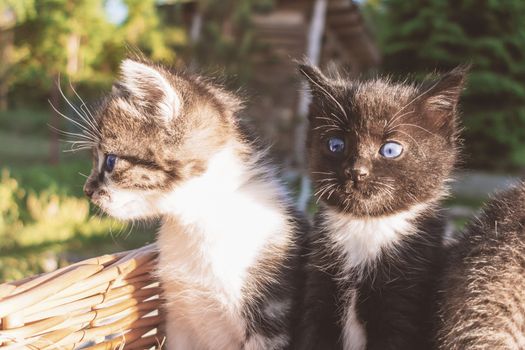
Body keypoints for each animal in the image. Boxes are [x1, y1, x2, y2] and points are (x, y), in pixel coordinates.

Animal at [294, 63, 466, 350]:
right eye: (336, 144)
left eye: (390, 150)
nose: (356, 172)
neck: (366, 226)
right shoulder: (318, 291)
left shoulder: (404, 302)